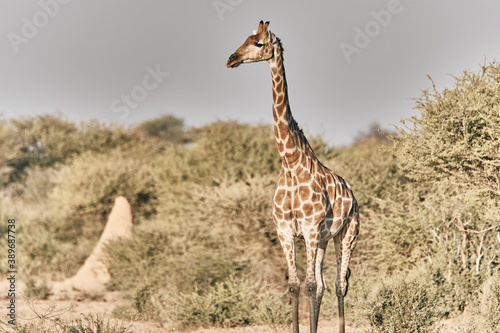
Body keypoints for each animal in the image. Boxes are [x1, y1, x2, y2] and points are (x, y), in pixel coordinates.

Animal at [227, 21, 360, 332]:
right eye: (245, 38)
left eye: (258, 43)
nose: (231, 59)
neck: (290, 163)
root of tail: (353, 196)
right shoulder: (285, 231)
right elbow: (295, 285)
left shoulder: (309, 229)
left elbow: (309, 285)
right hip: (323, 240)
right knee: (323, 285)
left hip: (347, 234)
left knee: (339, 285)